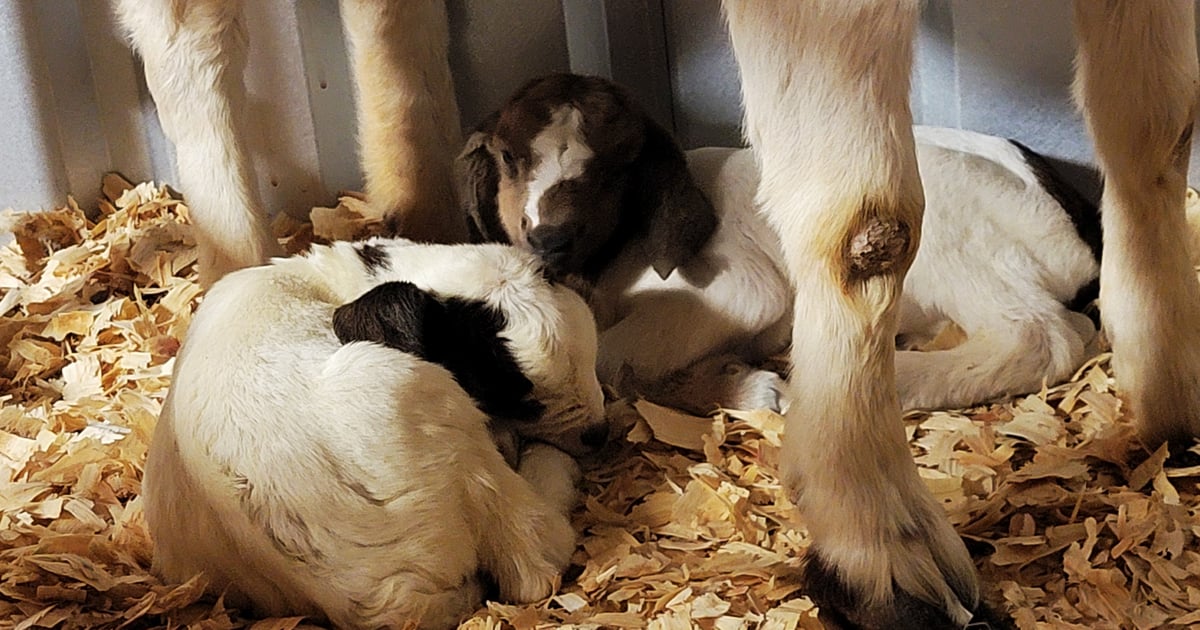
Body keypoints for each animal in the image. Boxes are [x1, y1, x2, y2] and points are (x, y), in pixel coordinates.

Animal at [460, 73, 1101, 417]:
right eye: (509, 157)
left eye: (616, 168)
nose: (549, 238)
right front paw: (742, 383)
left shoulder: (741, 287)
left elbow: (609, 358)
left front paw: (747, 384)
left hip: (940, 222)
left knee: (1045, 337)